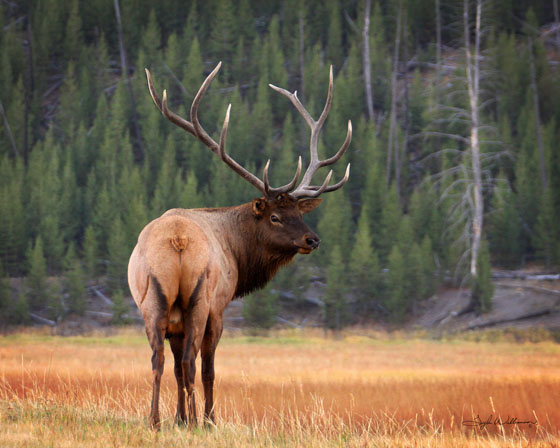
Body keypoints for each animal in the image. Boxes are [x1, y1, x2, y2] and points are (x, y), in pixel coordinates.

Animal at [129, 61, 352, 428]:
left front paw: (178, 418)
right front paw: (205, 419)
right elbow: (206, 370)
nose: (313, 239)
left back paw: (155, 420)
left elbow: (175, 369)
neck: (237, 251)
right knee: (193, 362)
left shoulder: (173, 320)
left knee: (159, 360)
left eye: (298, 211)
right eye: (275, 216)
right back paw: (198, 420)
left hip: (153, 298)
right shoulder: (220, 307)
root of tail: (178, 240)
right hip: (200, 298)